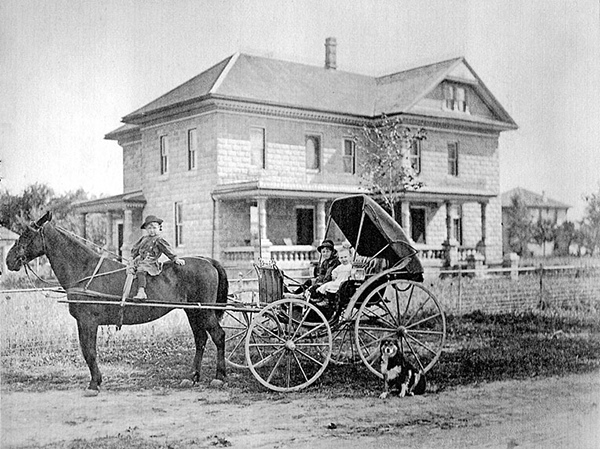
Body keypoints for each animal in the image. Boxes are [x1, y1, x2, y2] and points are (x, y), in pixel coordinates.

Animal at [5, 212, 227, 394]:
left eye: (26, 234)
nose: (9, 260)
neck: (85, 270)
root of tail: (207, 261)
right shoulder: (85, 323)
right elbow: (88, 351)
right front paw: (96, 381)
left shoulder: (87, 322)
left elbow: (89, 352)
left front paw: (94, 384)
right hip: (194, 312)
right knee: (200, 339)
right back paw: (192, 377)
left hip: (206, 312)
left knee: (218, 336)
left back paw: (219, 377)